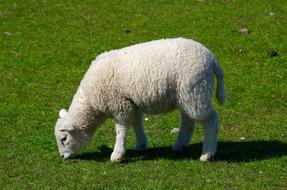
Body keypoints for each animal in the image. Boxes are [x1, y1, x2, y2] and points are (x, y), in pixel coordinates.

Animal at [54, 37, 227, 162]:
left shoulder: (120, 104)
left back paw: (207, 154)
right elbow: (137, 123)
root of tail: (211, 57)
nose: (62, 157)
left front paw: (117, 154)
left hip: (196, 92)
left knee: (211, 120)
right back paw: (179, 145)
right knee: (188, 121)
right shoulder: (132, 103)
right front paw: (141, 144)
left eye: (63, 139)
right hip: (187, 96)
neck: (92, 103)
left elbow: (121, 130)